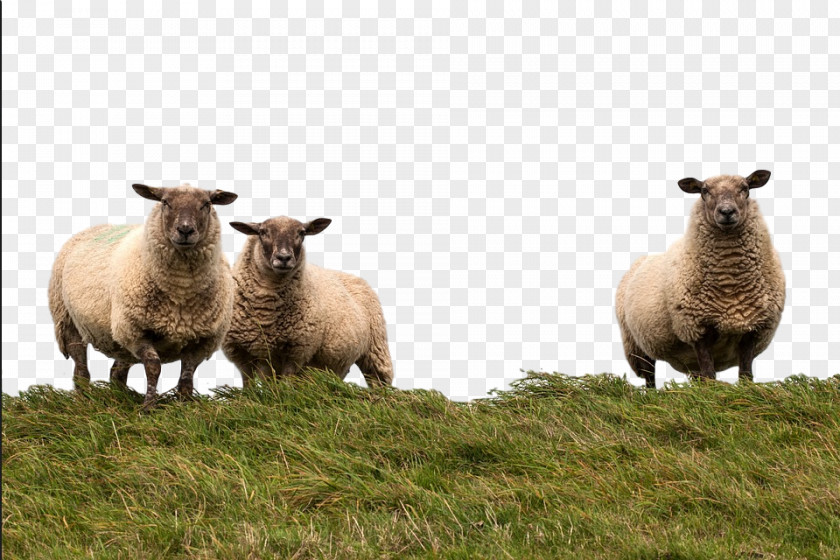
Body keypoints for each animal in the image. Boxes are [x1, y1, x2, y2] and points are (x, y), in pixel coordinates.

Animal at [48, 185, 238, 406]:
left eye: (206, 204)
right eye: (165, 202)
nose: (185, 230)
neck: (181, 291)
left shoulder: (203, 339)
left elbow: (187, 376)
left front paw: (184, 405)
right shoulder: (135, 330)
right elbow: (154, 367)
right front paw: (148, 406)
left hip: (118, 338)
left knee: (116, 373)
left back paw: (119, 399)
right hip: (68, 320)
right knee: (81, 369)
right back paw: (83, 400)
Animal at [221, 215, 396, 390]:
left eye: (301, 233)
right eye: (263, 232)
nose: (284, 258)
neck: (265, 310)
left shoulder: (296, 350)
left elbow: (286, 384)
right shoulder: (240, 353)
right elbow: (248, 387)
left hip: (376, 351)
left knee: (379, 382)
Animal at [612, 171, 784, 388]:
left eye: (745, 188)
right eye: (704, 191)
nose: (726, 212)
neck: (730, 286)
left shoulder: (752, 329)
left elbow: (745, 375)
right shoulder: (696, 329)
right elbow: (710, 375)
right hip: (636, 344)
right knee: (649, 376)